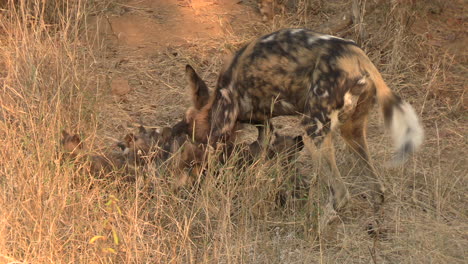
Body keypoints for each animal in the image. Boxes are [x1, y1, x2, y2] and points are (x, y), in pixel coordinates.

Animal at [179, 28, 424, 216]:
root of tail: (357, 55)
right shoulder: (265, 128)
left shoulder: (220, 129)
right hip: (352, 132)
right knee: (378, 189)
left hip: (312, 131)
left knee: (341, 194)